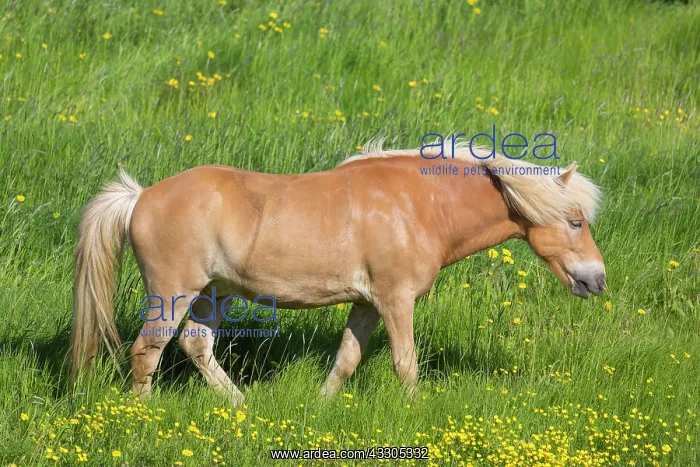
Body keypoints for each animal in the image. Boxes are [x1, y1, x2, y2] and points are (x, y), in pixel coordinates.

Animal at [70, 141, 605, 405]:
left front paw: (322, 407)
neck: (420, 205)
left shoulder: (366, 303)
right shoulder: (395, 299)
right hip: (172, 293)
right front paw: (414, 412)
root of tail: (141, 196)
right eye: (575, 221)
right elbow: (406, 363)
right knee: (147, 351)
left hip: (213, 294)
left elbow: (347, 360)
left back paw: (240, 404)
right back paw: (142, 413)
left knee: (196, 346)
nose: (596, 280)